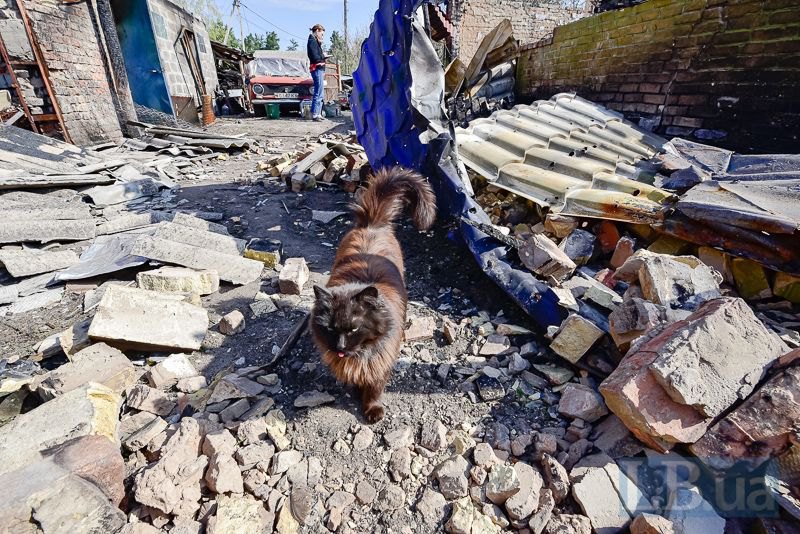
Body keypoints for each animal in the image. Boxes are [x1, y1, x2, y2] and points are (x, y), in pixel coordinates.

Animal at [312, 166, 438, 422]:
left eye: (354, 329)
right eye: (330, 328)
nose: (340, 348)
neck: (360, 354)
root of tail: (372, 224)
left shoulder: (381, 363)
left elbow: (374, 388)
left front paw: (372, 409)